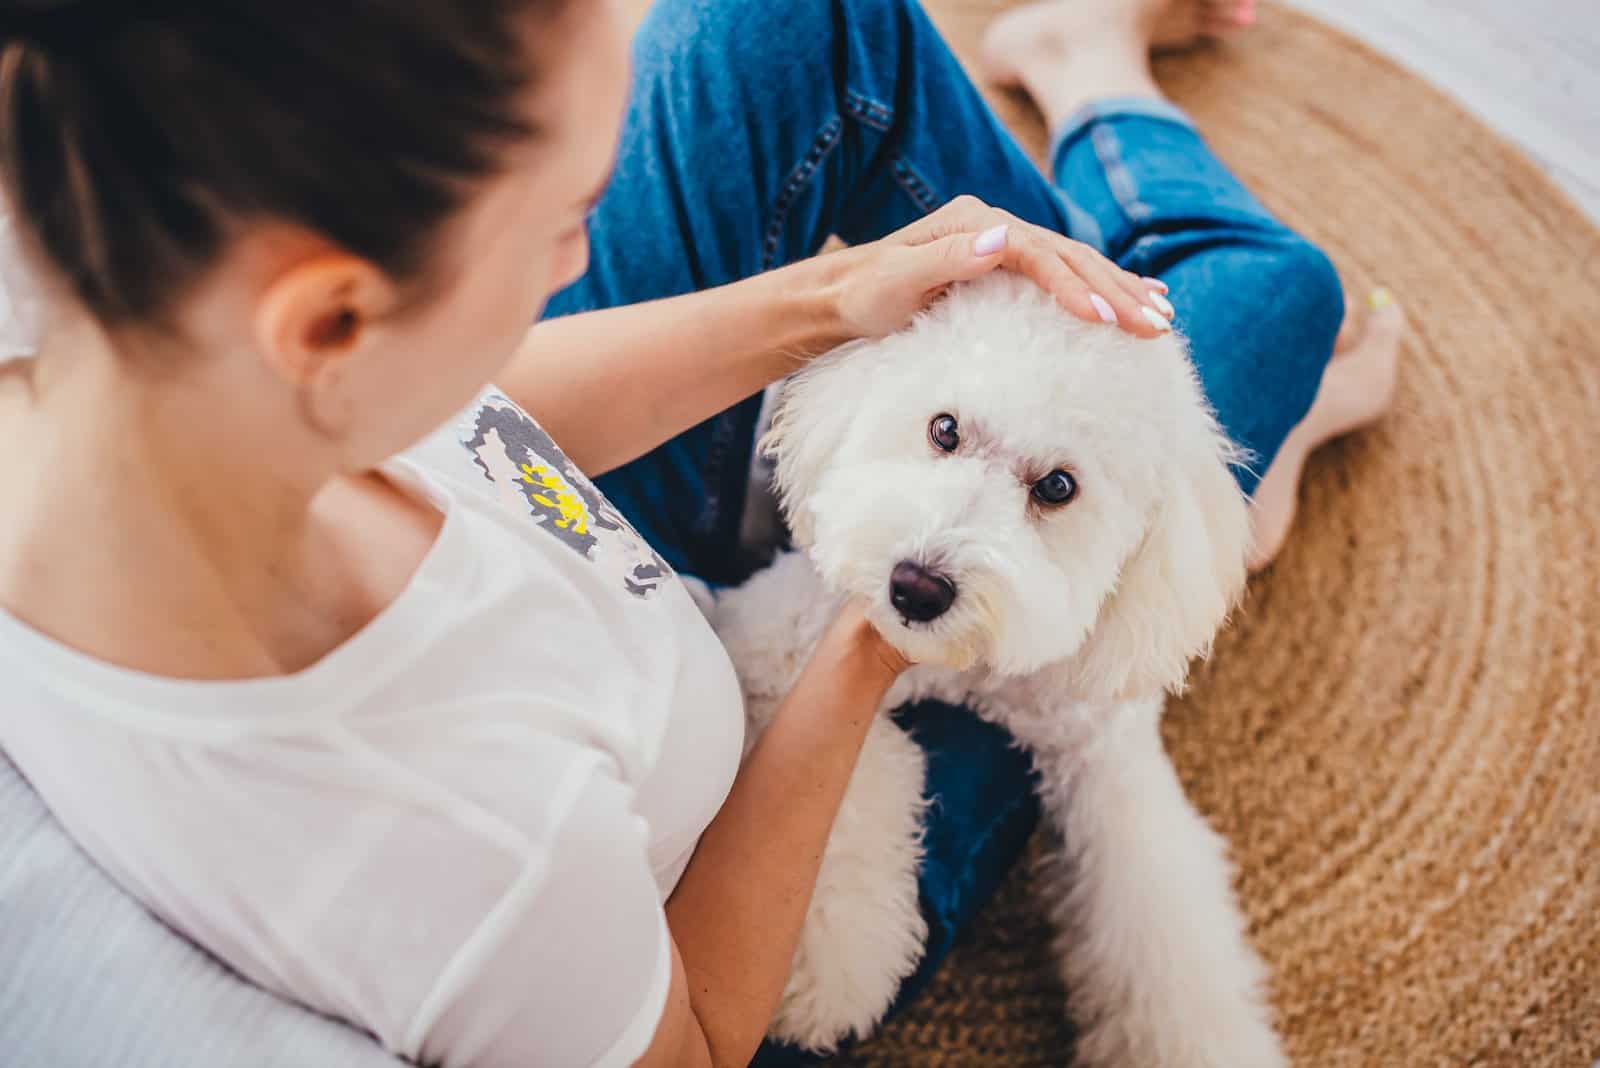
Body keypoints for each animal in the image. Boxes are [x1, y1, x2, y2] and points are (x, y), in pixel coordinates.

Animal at [700, 273, 1286, 1068]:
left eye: (1059, 487)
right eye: (944, 429)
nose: (916, 588)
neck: (970, 670)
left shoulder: (1106, 757)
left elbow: (1160, 928)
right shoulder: (772, 645)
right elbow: (845, 794)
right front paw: (832, 969)